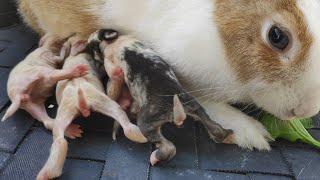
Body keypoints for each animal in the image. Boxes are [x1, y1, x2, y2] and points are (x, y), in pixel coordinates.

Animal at [37, 39, 148, 180]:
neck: (75, 54)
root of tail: (82, 104)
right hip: (101, 101)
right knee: (124, 121)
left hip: (68, 111)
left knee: (59, 139)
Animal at [89, 29, 234, 166]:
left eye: (91, 46)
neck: (116, 41)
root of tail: (174, 107)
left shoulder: (111, 65)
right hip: (194, 106)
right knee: (214, 126)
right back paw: (225, 134)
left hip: (146, 123)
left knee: (168, 147)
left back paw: (155, 157)